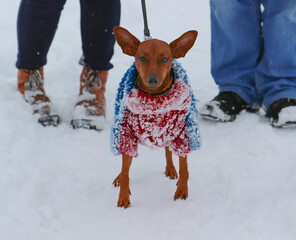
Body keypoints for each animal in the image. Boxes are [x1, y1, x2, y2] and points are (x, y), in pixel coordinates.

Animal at [112, 26, 198, 208]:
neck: (154, 98)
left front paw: (182, 189)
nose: (152, 80)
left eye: (165, 59)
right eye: (142, 58)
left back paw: (171, 169)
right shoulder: (127, 134)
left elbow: (184, 167)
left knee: (167, 150)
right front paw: (123, 195)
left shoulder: (181, 134)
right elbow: (125, 171)